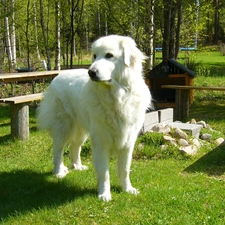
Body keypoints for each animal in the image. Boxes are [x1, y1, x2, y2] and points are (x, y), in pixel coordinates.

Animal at [37, 35, 151, 202]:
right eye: (95, 56)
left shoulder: (128, 141)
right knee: (58, 150)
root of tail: (58, 75)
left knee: (75, 147)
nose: (91, 72)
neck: (117, 98)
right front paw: (104, 194)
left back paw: (77, 166)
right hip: (63, 128)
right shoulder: (101, 142)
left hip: (81, 131)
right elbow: (104, 172)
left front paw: (127, 189)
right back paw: (58, 172)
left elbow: (124, 169)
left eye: (109, 55)